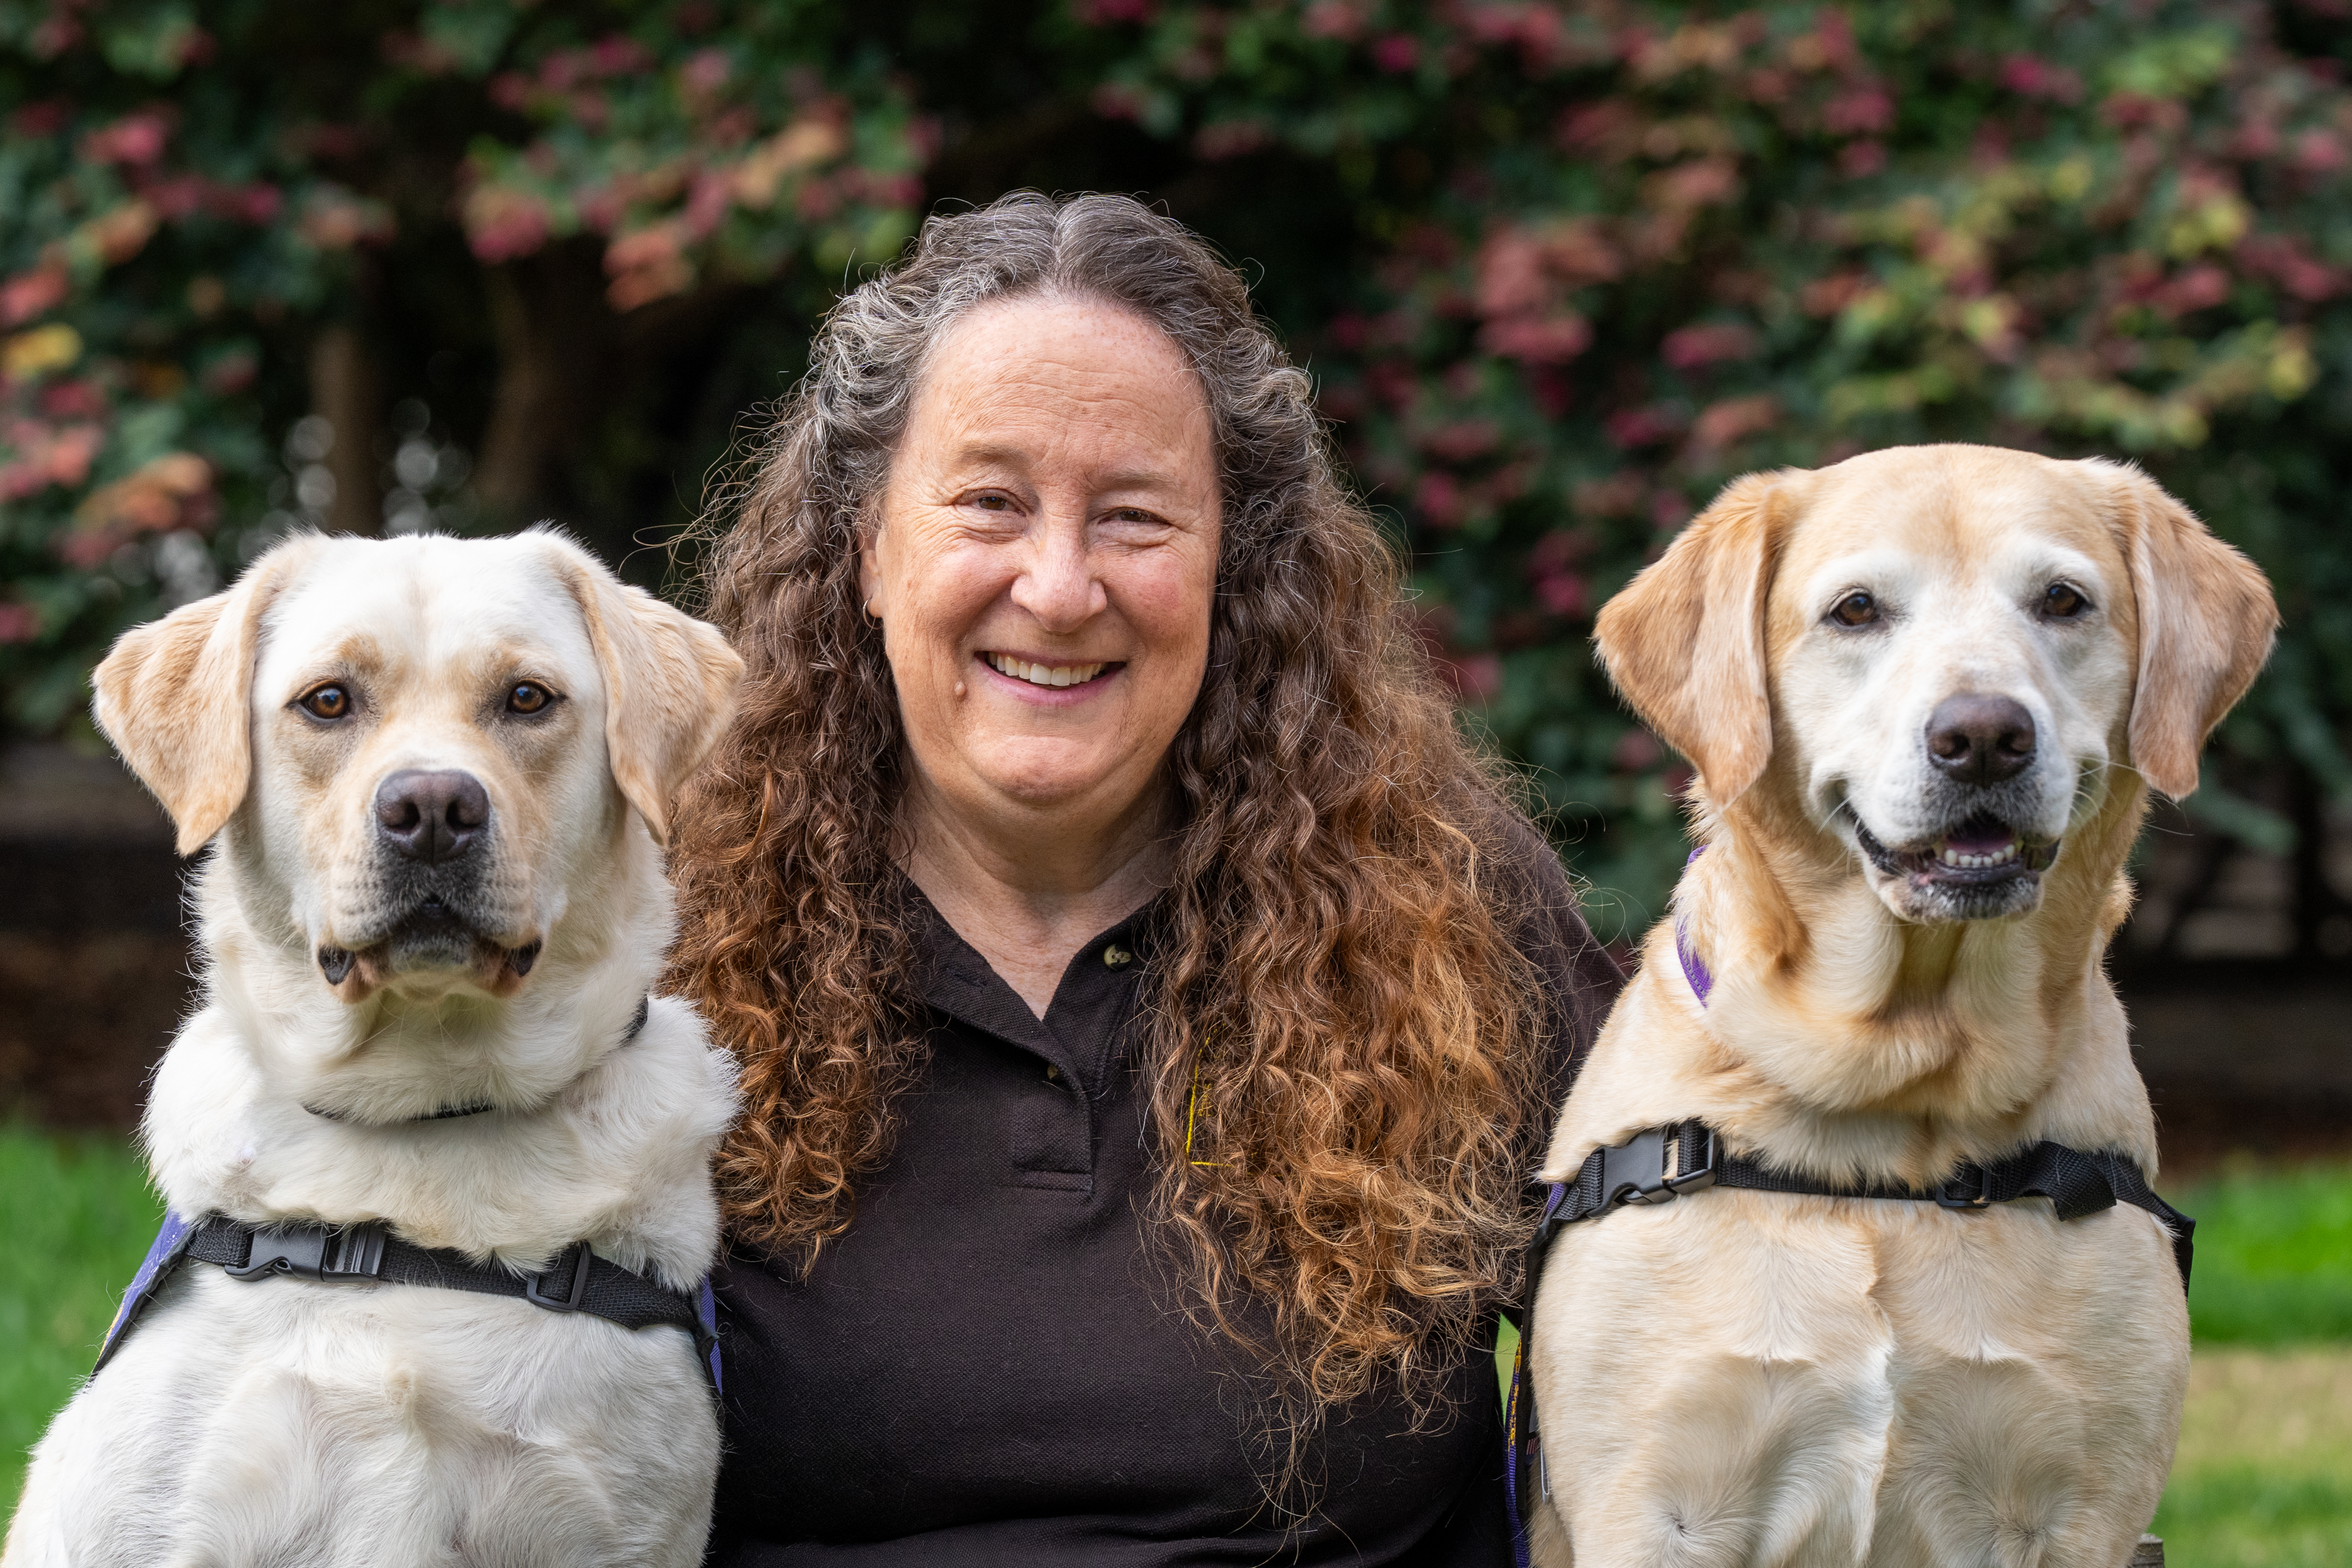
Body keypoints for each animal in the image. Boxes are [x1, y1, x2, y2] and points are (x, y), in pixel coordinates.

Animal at [1524, 444, 2277, 1568]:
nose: (1984, 735)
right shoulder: (1652, 1503)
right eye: (1856, 610)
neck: (1898, 1106)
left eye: (2062, 599)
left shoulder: (2083, 1509)